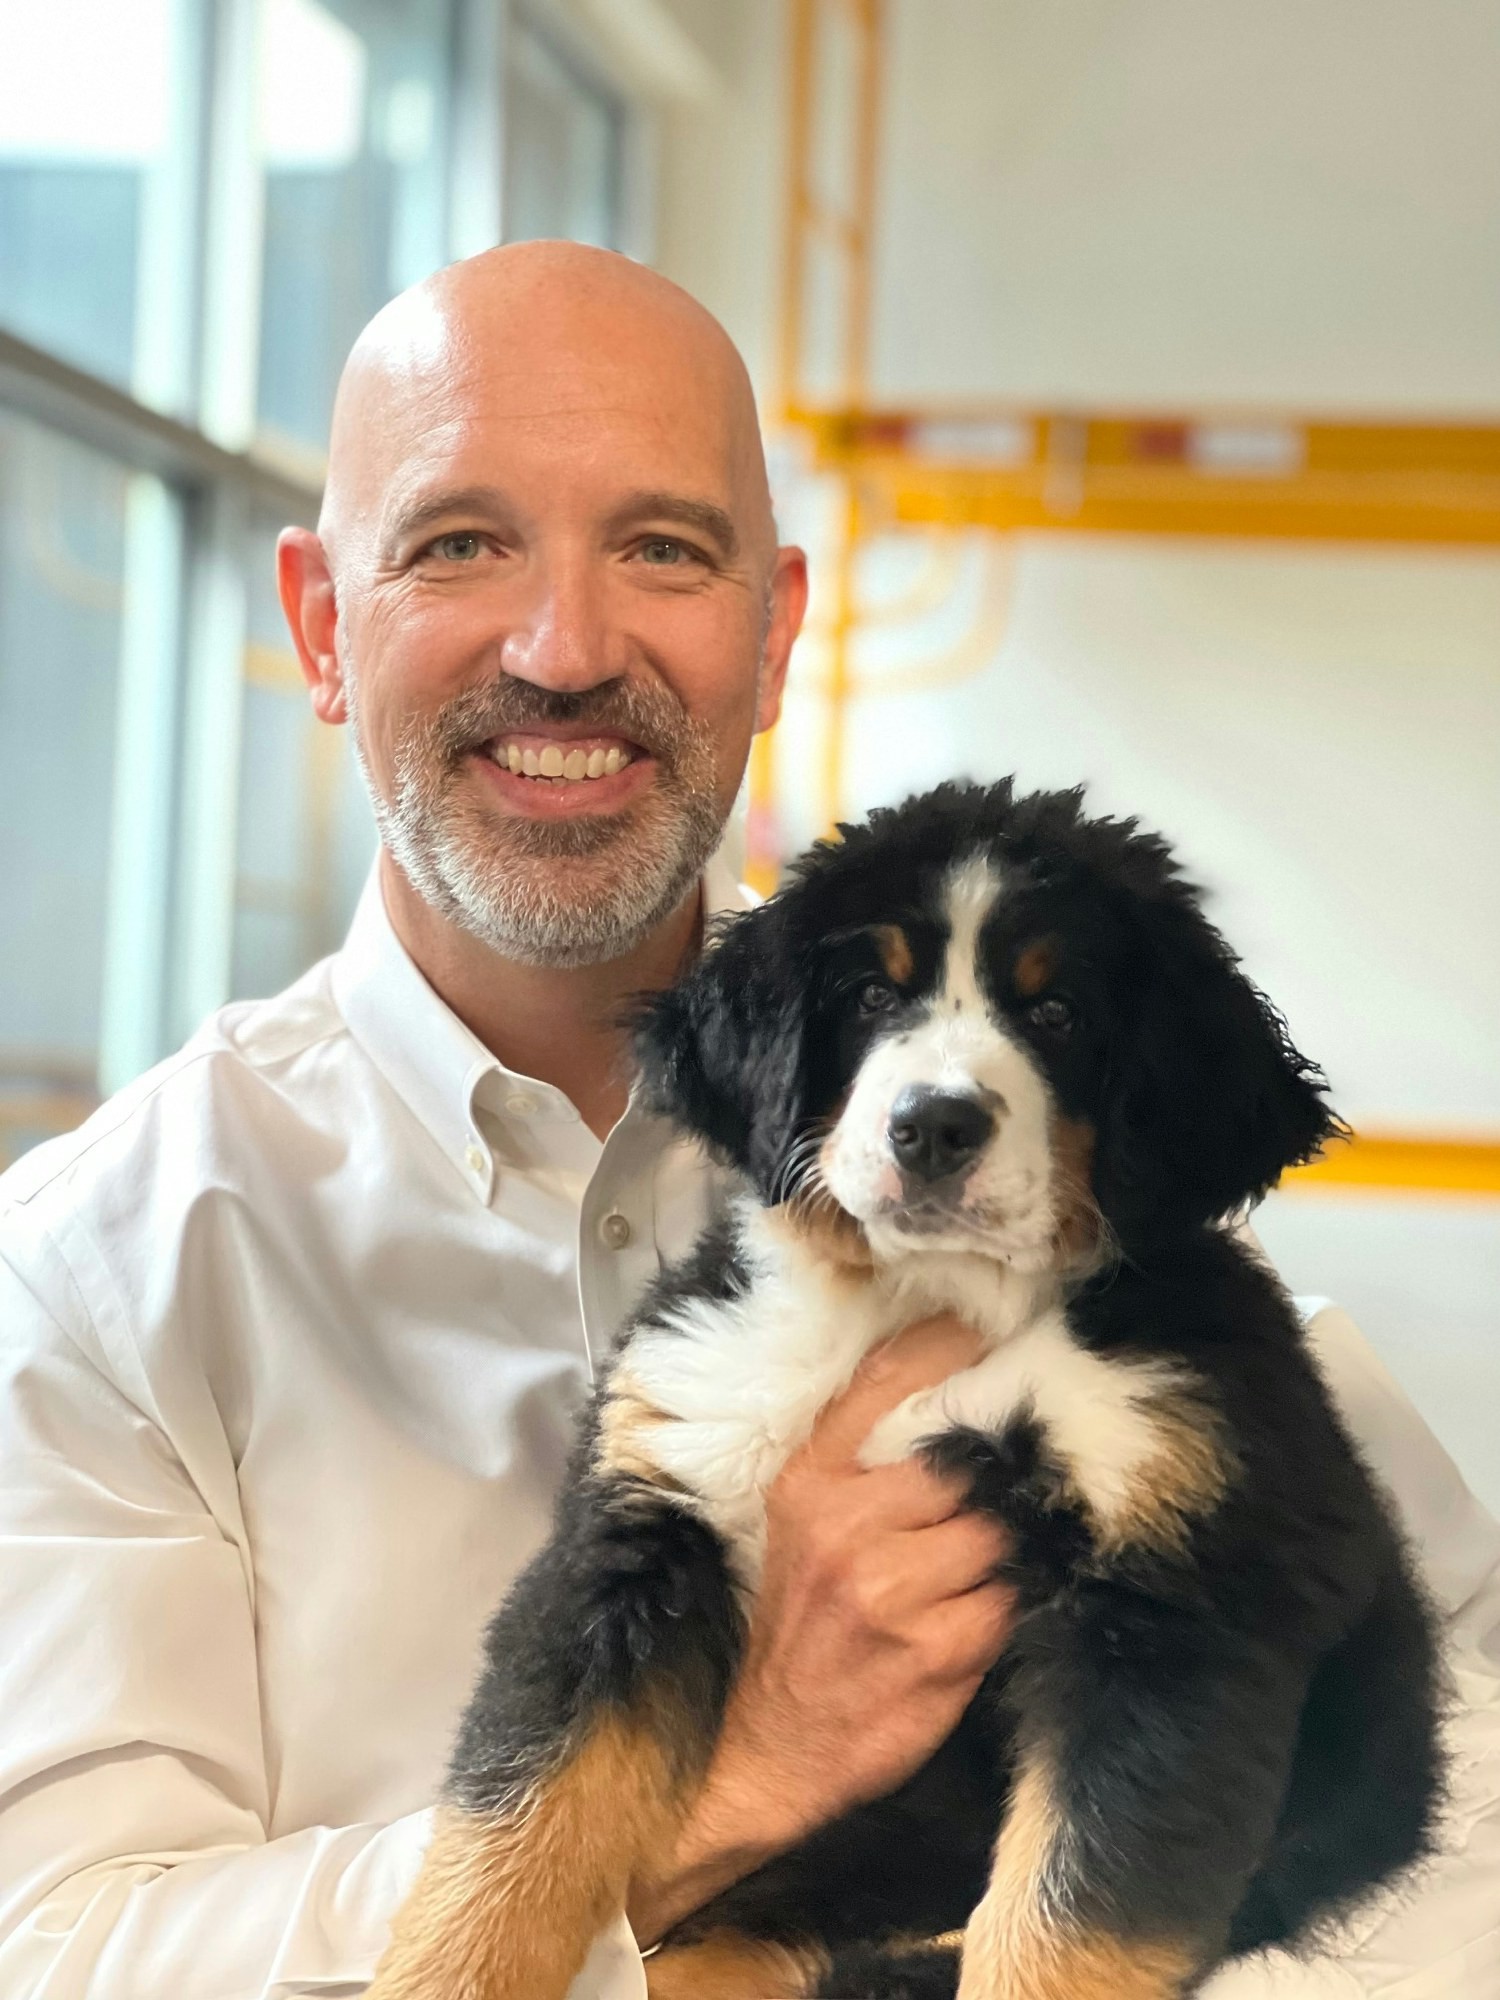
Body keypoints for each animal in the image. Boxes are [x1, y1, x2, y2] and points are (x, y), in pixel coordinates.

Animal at [368, 780, 1448, 2000]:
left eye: (1059, 1012)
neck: (925, 1300)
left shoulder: (1176, 1607)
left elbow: (1073, 1914)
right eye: (872, 994)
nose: (933, 1124)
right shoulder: (647, 1519)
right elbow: (515, 1822)